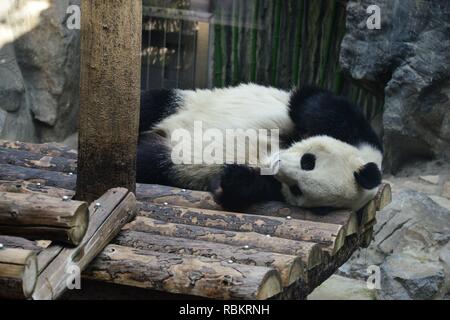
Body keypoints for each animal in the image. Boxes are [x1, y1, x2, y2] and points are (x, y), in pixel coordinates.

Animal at [136, 84, 380, 211]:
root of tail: (164, 131)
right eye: (308, 161)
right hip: (183, 102)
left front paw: (233, 180)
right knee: (152, 102)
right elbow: (313, 102)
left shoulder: (274, 189)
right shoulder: (360, 135)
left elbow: (242, 190)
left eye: (296, 189)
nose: (276, 165)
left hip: (173, 157)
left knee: (152, 160)